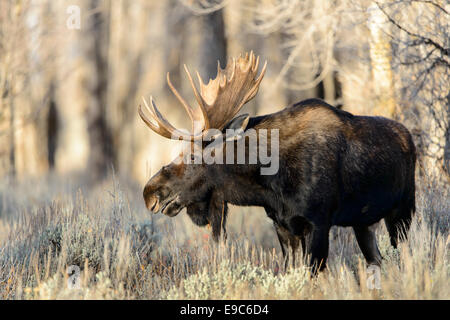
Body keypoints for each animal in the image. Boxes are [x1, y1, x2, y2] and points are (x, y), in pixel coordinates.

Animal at [139, 51, 416, 274]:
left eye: (193, 157)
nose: (149, 193)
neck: (270, 184)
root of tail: (409, 137)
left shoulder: (318, 222)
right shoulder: (282, 225)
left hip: (402, 212)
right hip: (363, 222)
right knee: (377, 261)